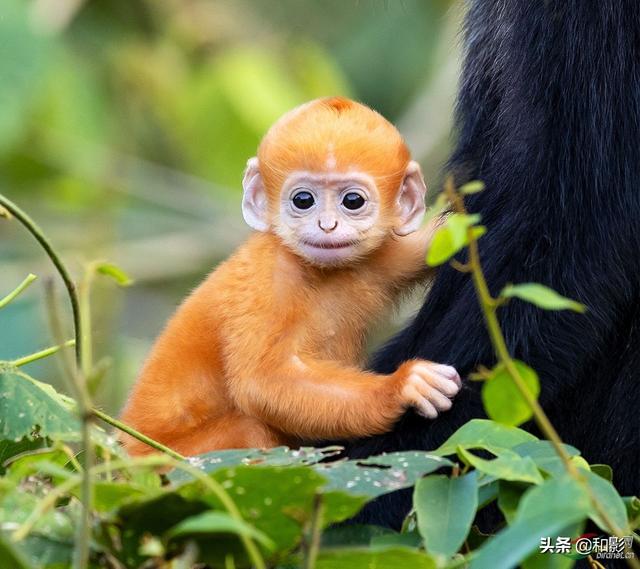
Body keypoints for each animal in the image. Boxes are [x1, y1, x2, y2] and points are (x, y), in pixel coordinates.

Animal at [120, 95, 460, 454]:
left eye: (352, 201)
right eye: (303, 200)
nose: (327, 225)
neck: (322, 273)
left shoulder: (382, 258)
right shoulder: (268, 279)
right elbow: (261, 382)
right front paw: (401, 386)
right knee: (251, 429)